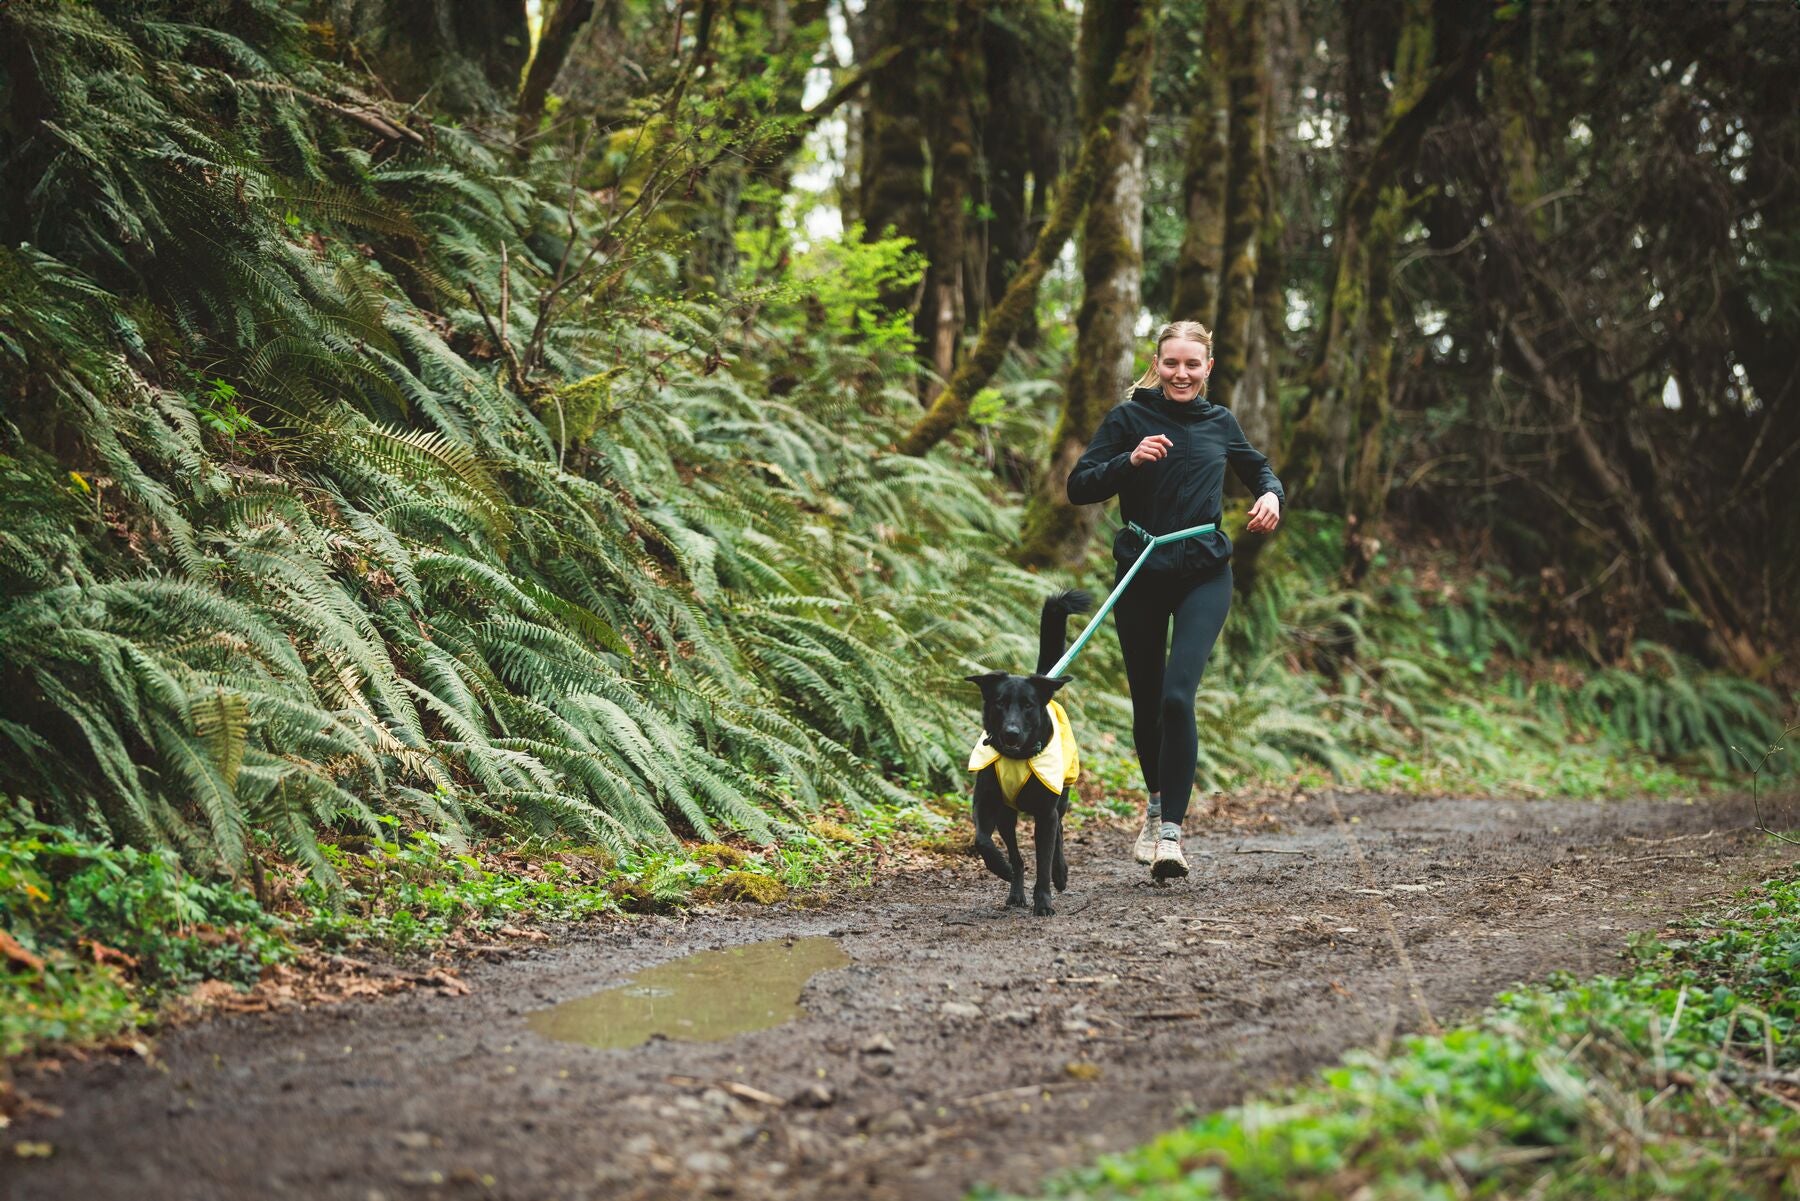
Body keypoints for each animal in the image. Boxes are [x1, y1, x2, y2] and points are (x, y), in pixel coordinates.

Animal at [964, 590, 1087, 921]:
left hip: (1061, 797)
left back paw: (1060, 873)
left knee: (1059, 831)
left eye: (1028, 705)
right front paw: (1002, 869)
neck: (1017, 761)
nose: (1011, 733)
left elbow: (1043, 861)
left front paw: (1043, 901)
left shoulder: (1045, 813)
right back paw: (1015, 890)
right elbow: (983, 840)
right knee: (1018, 856)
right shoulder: (986, 803)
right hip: (1008, 816)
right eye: (999, 702)